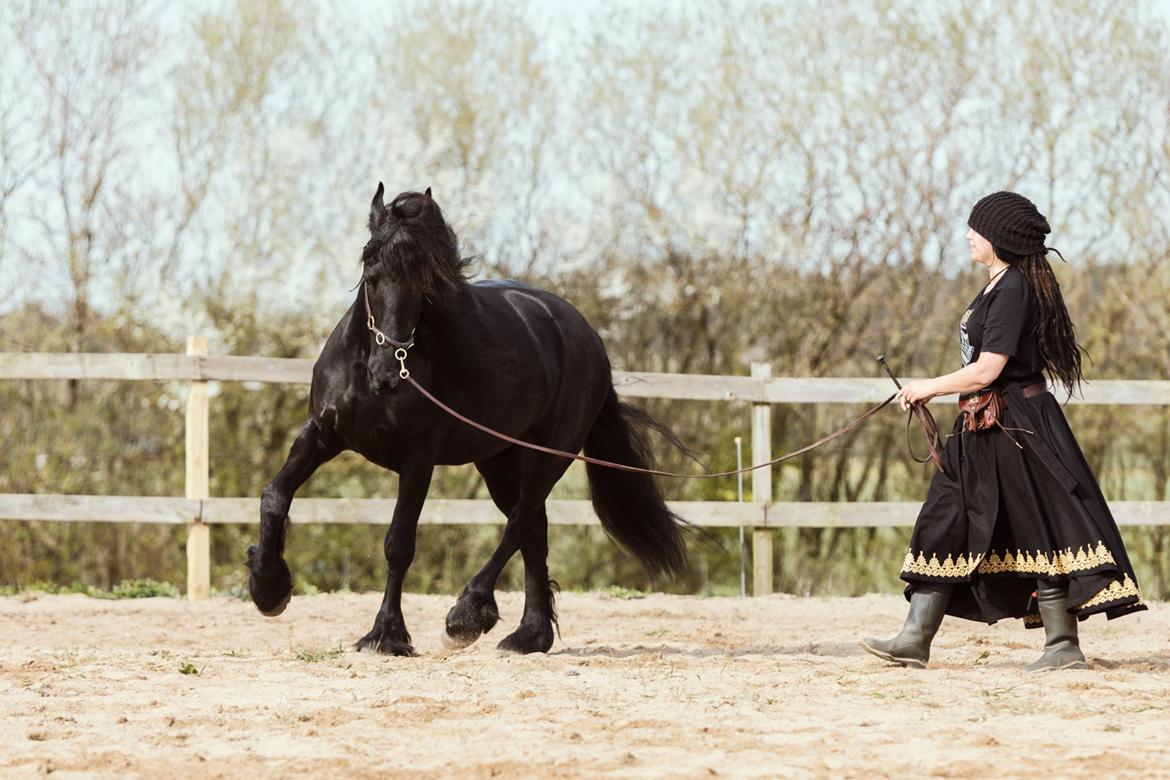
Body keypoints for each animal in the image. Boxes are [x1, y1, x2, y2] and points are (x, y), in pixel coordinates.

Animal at [244, 185, 683, 654]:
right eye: (371, 275)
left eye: (424, 283)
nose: (387, 374)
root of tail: (586, 335)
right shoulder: (322, 434)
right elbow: (274, 496)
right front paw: (268, 588)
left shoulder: (418, 459)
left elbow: (399, 542)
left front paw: (386, 634)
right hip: (499, 459)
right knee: (534, 528)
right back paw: (529, 635)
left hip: (551, 454)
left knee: (521, 520)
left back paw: (467, 616)